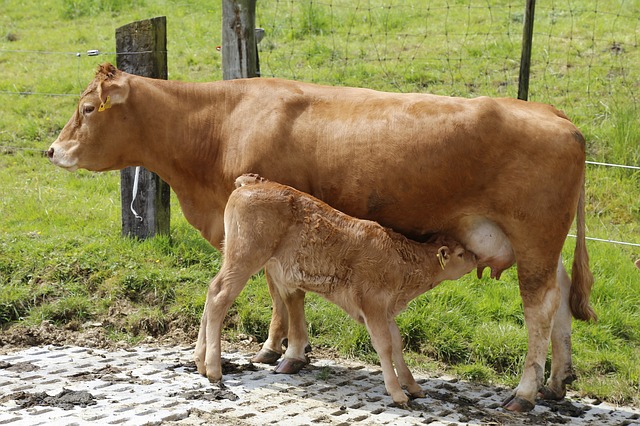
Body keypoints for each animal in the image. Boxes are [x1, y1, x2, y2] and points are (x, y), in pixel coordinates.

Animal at [195, 173, 477, 406]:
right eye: (461, 254)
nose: (476, 257)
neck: (401, 263)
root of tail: (253, 183)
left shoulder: (387, 310)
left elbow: (398, 344)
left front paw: (413, 386)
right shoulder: (373, 305)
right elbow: (384, 346)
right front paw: (397, 393)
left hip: (235, 256)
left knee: (211, 290)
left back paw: (200, 360)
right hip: (246, 256)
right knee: (220, 296)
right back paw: (214, 369)